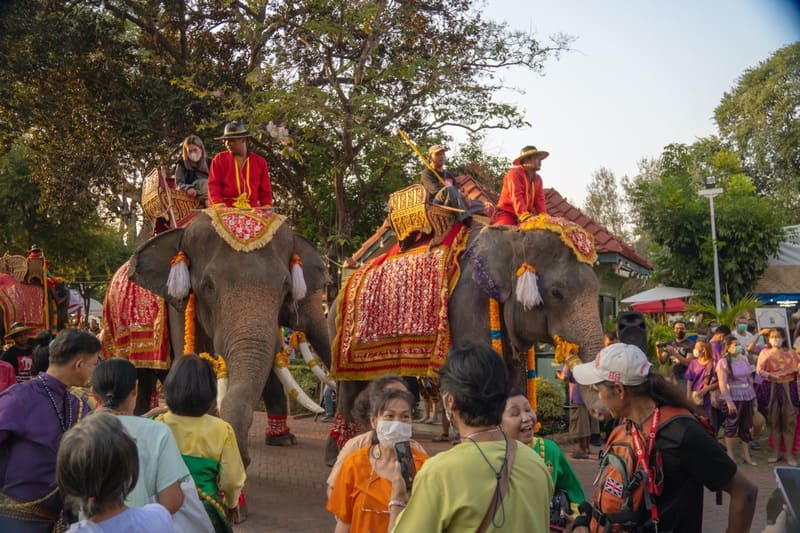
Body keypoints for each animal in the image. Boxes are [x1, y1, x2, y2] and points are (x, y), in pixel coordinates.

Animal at [123, 210, 330, 464]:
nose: (245, 458)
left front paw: (282, 440)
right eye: (208, 286)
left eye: (286, 286)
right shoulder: (176, 302)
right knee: (144, 373)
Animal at [328, 220, 604, 462]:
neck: (512, 236)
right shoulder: (469, 304)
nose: (601, 411)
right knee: (349, 389)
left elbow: (514, 379)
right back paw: (341, 454)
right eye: (557, 293)